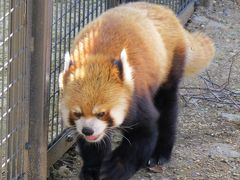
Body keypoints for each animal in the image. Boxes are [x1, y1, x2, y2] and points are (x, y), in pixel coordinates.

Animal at [59, 1, 215, 180]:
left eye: (101, 113)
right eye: (77, 113)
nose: (87, 130)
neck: (96, 58)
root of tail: (164, 10)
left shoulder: (137, 97)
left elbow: (144, 134)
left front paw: (116, 168)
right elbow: (92, 144)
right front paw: (92, 169)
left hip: (169, 65)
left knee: (167, 108)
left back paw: (160, 153)